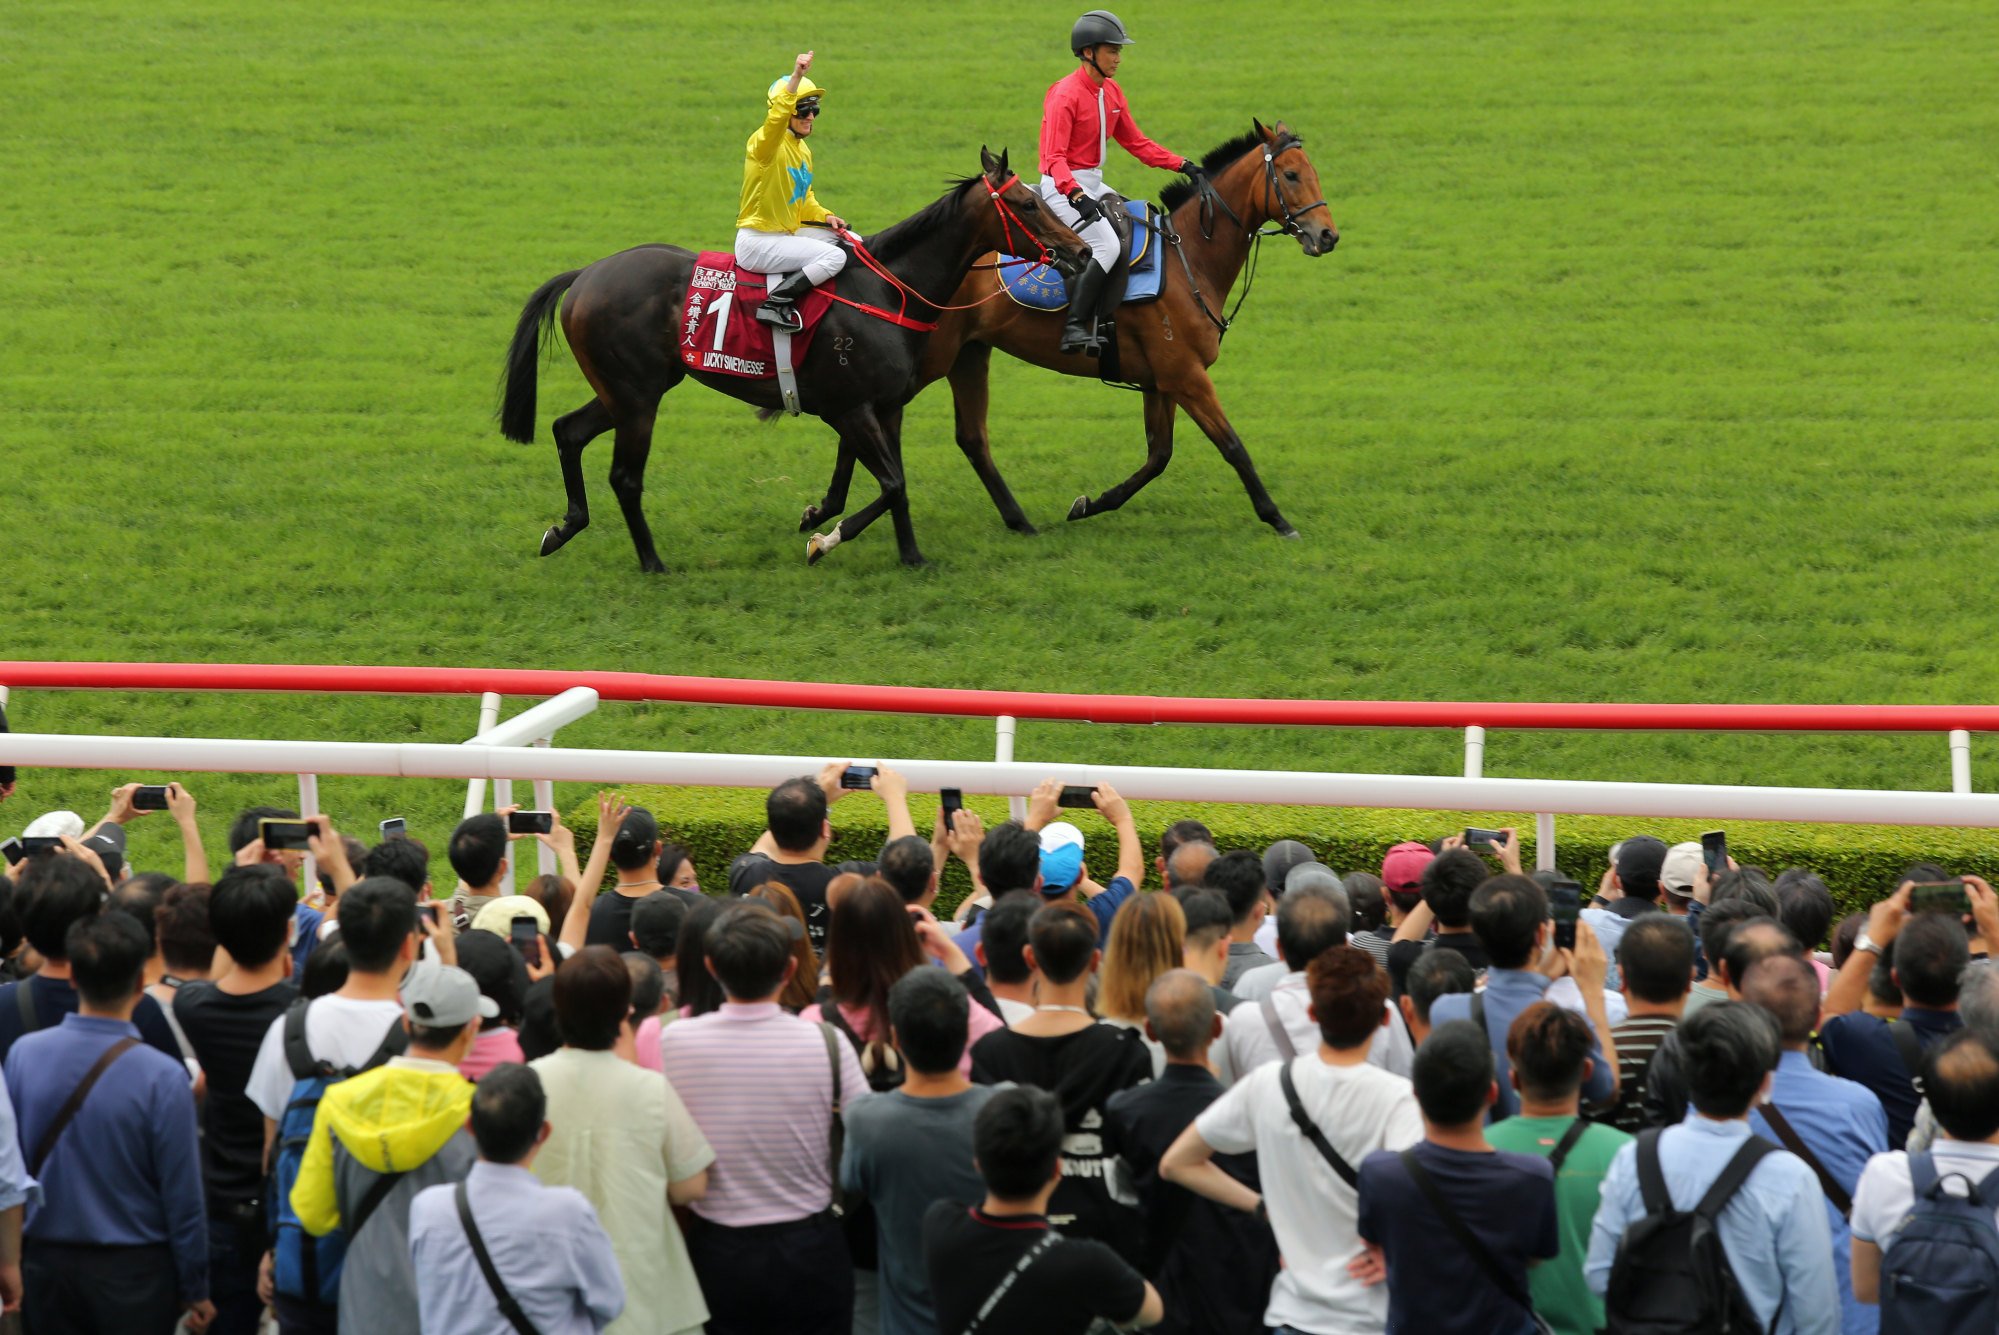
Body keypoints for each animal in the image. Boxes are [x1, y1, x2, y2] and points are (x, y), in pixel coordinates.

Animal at [499, 148, 1095, 571]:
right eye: (1027, 204)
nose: (1081, 250)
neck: (887, 291)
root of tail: (584, 275)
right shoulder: (849, 408)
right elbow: (891, 485)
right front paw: (824, 539)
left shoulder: (885, 406)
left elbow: (897, 485)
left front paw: (910, 555)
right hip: (638, 397)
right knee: (624, 476)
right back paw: (653, 564)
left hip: (627, 391)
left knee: (568, 430)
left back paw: (563, 528)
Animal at [799, 121, 1343, 547]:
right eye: (1291, 175)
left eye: (1312, 172)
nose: (1327, 235)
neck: (1189, 259)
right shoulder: (1186, 376)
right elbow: (1232, 447)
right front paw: (1277, 518)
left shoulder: (1160, 381)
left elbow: (1157, 457)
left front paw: (1090, 503)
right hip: (928, 360)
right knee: (863, 418)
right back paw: (828, 513)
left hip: (969, 354)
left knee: (969, 437)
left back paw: (1012, 520)